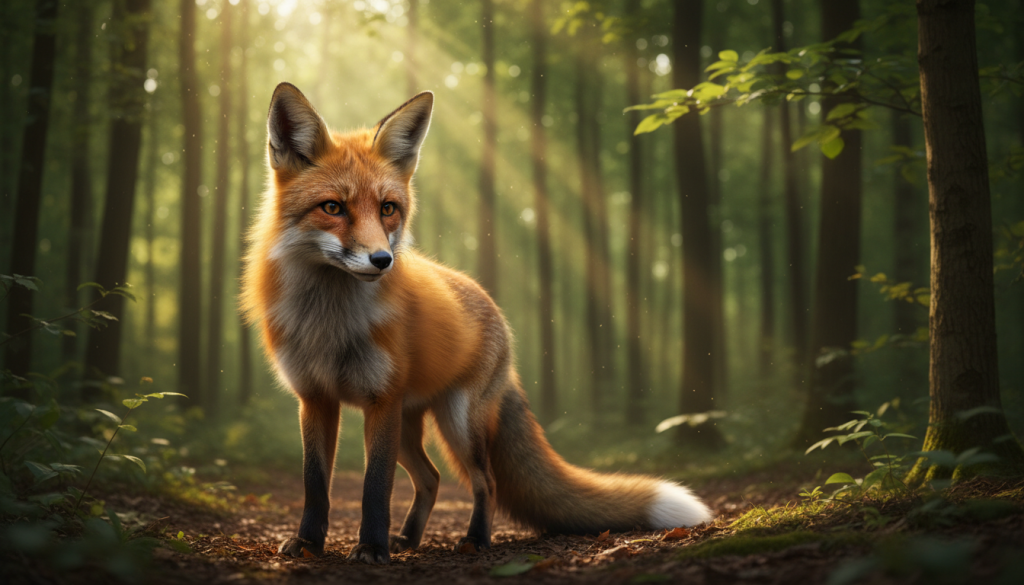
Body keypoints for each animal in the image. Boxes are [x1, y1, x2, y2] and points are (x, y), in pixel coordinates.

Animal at [240, 82, 712, 565]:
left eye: (388, 208)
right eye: (333, 207)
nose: (383, 260)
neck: (329, 323)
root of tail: (491, 305)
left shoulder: (381, 401)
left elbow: (376, 488)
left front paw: (371, 548)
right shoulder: (316, 399)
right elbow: (315, 484)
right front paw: (308, 544)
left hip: (457, 422)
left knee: (486, 481)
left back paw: (475, 539)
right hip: (409, 427)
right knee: (431, 478)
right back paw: (408, 539)